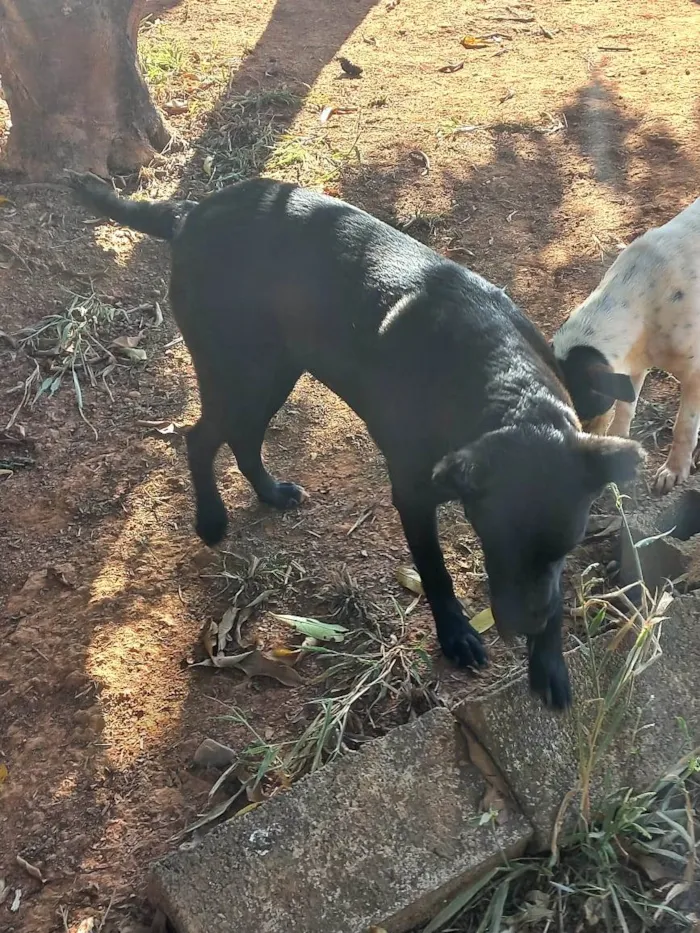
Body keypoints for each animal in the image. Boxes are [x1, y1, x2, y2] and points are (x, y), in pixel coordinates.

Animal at [71, 175, 644, 708]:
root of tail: (192, 211)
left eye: (567, 547)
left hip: (274, 372)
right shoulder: (413, 496)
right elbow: (436, 574)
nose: (526, 628)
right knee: (200, 438)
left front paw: (549, 661)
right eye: (495, 544)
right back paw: (211, 520)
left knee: (241, 440)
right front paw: (457, 635)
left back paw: (270, 493)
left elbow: (554, 591)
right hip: (239, 374)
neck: (504, 383)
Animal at [552, 198, 700, 496]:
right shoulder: (632, 365)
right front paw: (618, 442)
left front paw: (674, 470)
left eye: (583, 412)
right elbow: (624, 408)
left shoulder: (695, 373)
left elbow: (685, 425)